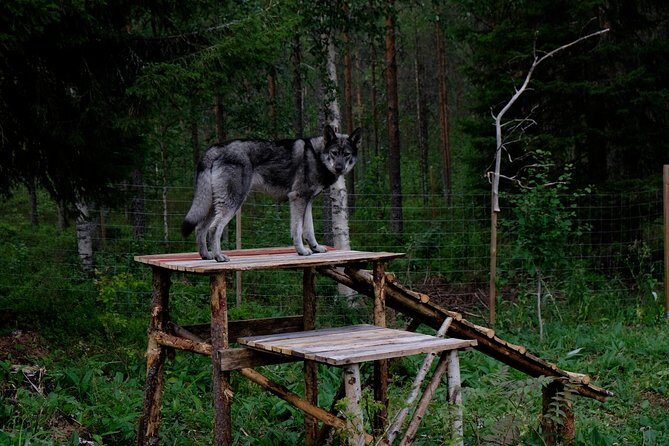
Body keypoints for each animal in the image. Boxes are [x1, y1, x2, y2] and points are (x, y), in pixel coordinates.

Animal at [182, 125, 361, 262]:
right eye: (334, 153)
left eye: (346, 154)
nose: (339, 168)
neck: (317, 156)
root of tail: (214, 149)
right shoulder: (298, 199)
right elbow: (297, 229)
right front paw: (302, 251)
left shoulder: (307, 202)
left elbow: (309, 230)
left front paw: (315, 248)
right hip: (232, 203)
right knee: (214, 229)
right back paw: (219, 256)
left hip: (213, 205)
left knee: (200, 228)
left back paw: (206, 255)